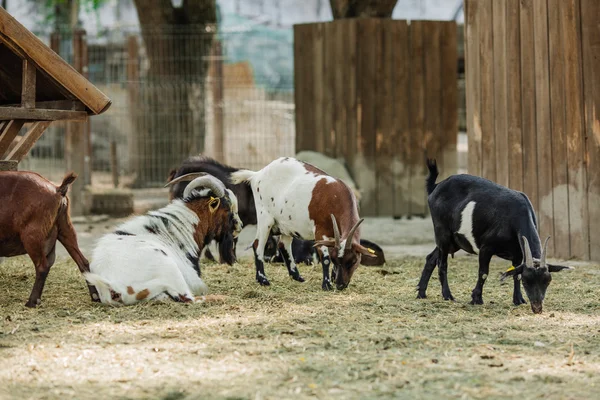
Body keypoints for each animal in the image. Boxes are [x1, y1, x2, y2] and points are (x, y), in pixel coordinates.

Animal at [0, 171, 98, 306]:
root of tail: (57, 189)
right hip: (65, 228)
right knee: (83, 261)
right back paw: (95, 297)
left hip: (32, 235)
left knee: (42, 266)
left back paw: (32, 302)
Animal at [84, 173, 241, 304]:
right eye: (228, 209)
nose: (239, 227)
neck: (176, 231)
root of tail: (114, 285)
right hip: (170, 269)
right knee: (189, 298)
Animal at [230, 156, 376, 290]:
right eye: (336, 260)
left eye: (353, 261)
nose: (340, 285)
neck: (336, 199)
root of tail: (257, 174)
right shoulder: (320, 231)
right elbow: (325, 258)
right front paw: (327, 284)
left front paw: (333, 279)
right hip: (265, 217)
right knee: (257, 245)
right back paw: (263, 279)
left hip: (286, 224)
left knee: (283, 245)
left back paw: (297, 276)